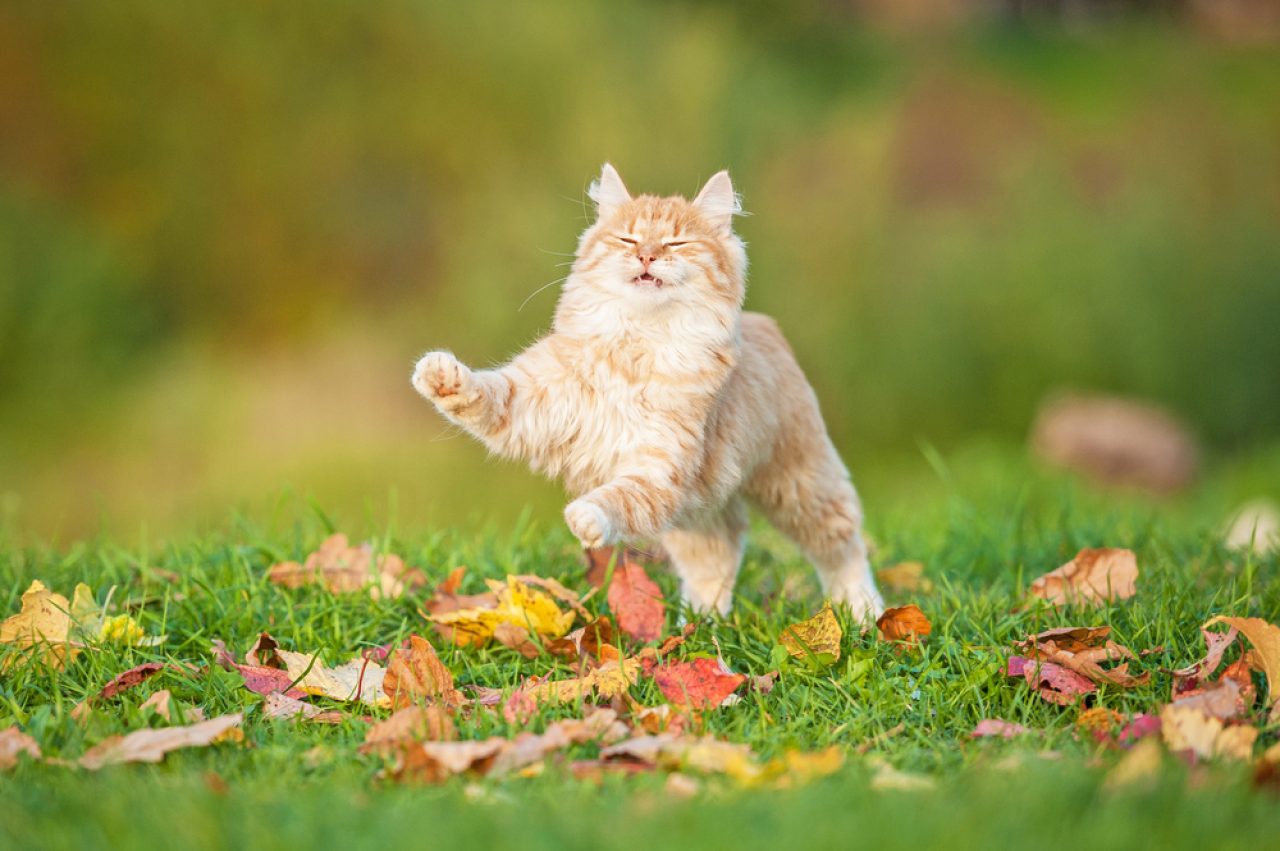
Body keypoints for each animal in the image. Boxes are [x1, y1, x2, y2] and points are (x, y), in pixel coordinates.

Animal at [414, 163, 885, 616]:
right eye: (629, 238)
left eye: (676, 243)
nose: (647, 255)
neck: (635, 347)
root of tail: (765, 324)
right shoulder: (533, 400)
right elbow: (486, 389)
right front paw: (438, 375)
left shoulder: (660, 469)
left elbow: (618, 499)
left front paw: (585, 518)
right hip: (702, 512)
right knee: (719, 558)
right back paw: (700, 624)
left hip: (799, 487)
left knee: (844, 548)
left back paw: (862, 613)